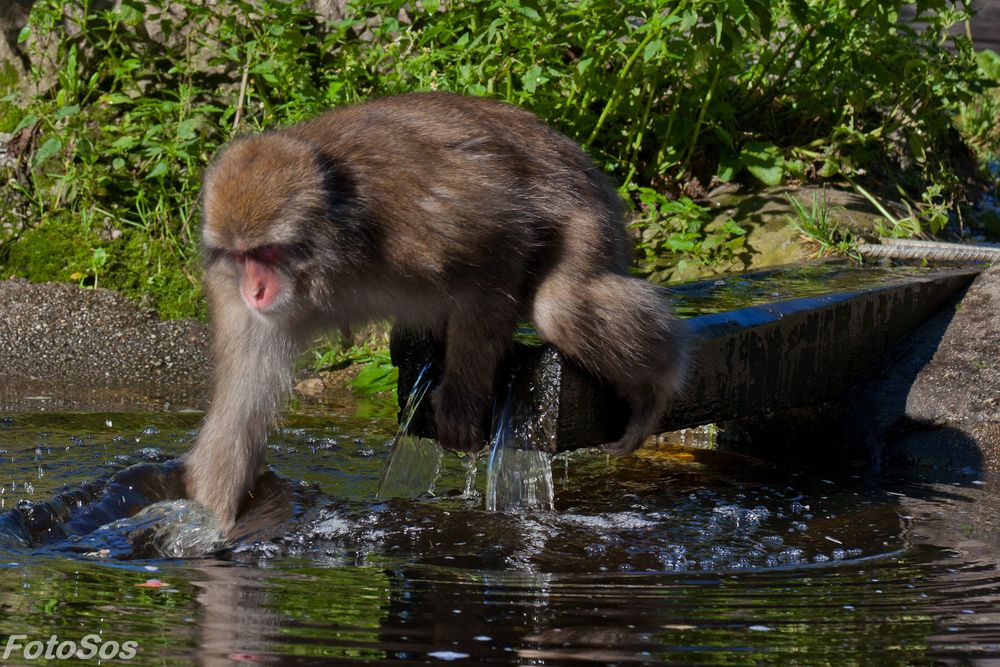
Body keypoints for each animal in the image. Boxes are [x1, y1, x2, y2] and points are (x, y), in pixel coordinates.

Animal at [184, 91, 688, 528]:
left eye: (267, 251)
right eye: (240, 255)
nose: (255, 292)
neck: (336, 250)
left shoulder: (419, 218)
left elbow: (498, 249)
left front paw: (462, 400)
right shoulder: (228, 290)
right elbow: (243, 404)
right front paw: (212, 528)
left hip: (590, 212)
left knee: (559, 306)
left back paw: (657, 383)